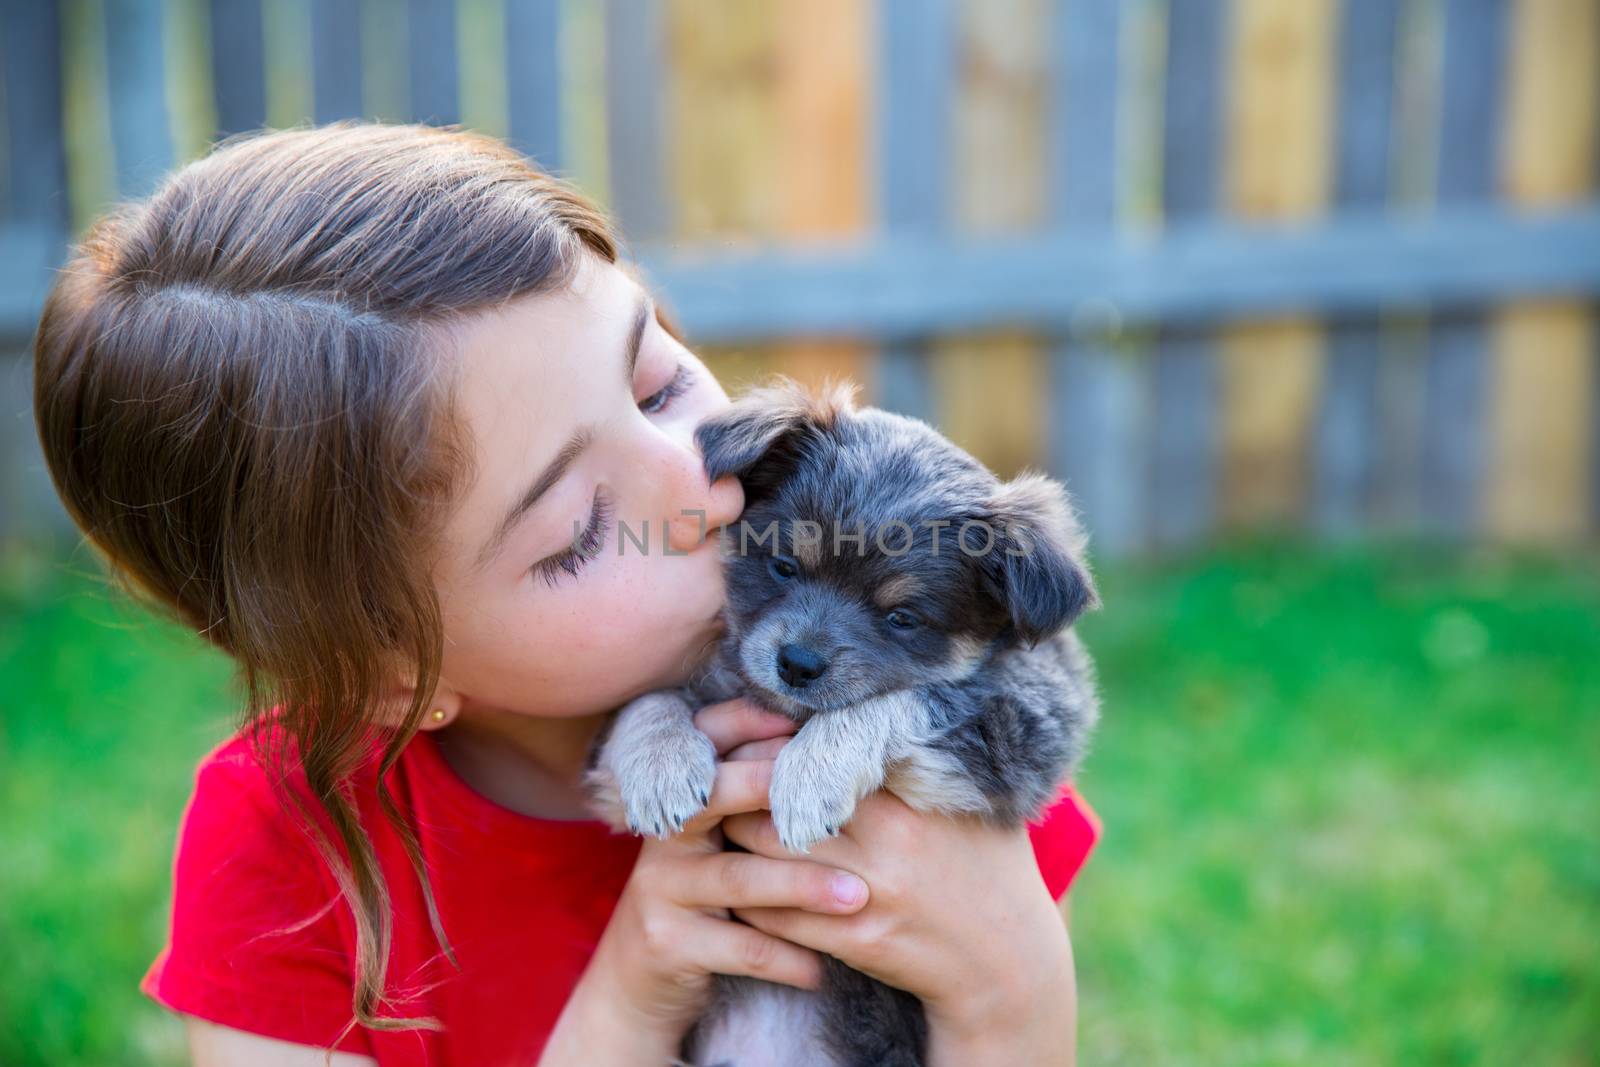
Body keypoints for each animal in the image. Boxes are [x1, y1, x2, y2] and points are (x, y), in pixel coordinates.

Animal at [585, 375, 1100, 1067]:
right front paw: (662, 768)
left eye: (902, 619)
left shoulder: (1030, 723)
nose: (797, 664)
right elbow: (647, 701)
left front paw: (810, 777)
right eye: (783, 566)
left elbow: (903, 698)